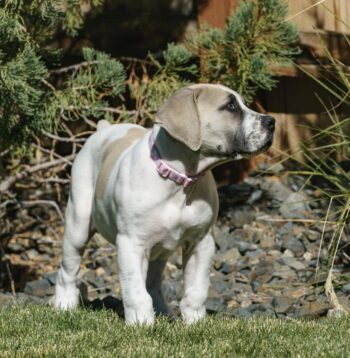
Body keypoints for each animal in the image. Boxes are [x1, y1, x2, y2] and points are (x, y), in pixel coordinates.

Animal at [54, 84, 274, 324]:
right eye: (230, 106)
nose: (272, 121)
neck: (180, 183)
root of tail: (104, 129)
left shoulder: (201, 242)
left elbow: (196, 290)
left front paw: (194, 322)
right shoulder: (131, 244)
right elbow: (135, 291)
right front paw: (140, 323)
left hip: (159, 251)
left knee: (153, 282)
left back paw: (162, 312)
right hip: (78, 224)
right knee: (68, 270)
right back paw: (64, 306)